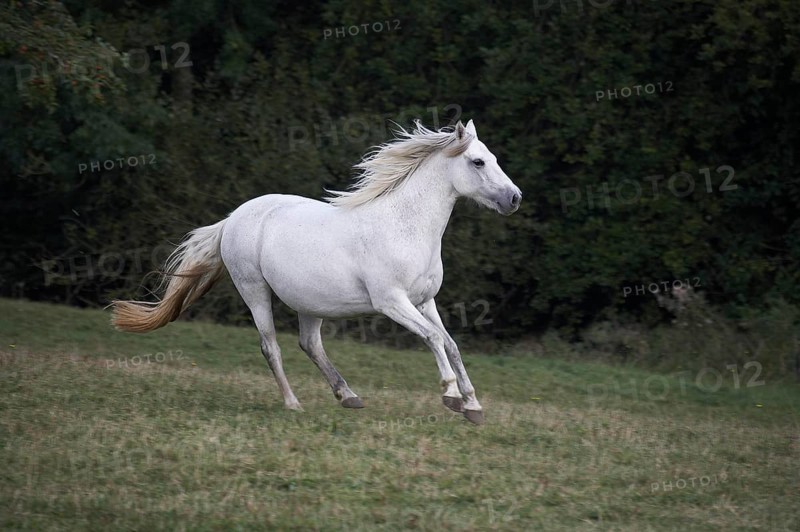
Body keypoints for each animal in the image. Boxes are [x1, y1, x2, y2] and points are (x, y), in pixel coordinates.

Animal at [111, 119, 521, 425]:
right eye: (478, 162)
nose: (515, 198)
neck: (404, 226)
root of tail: (233, 218)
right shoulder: (391, 302)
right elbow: (433, 339)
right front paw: (451, 397)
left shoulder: (424, 301)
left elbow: (449, 343)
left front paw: (473, 407)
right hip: (254, 290)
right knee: (271, 346)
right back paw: (293, 404)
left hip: (310, 302)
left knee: (310, 344)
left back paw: (349, 396)